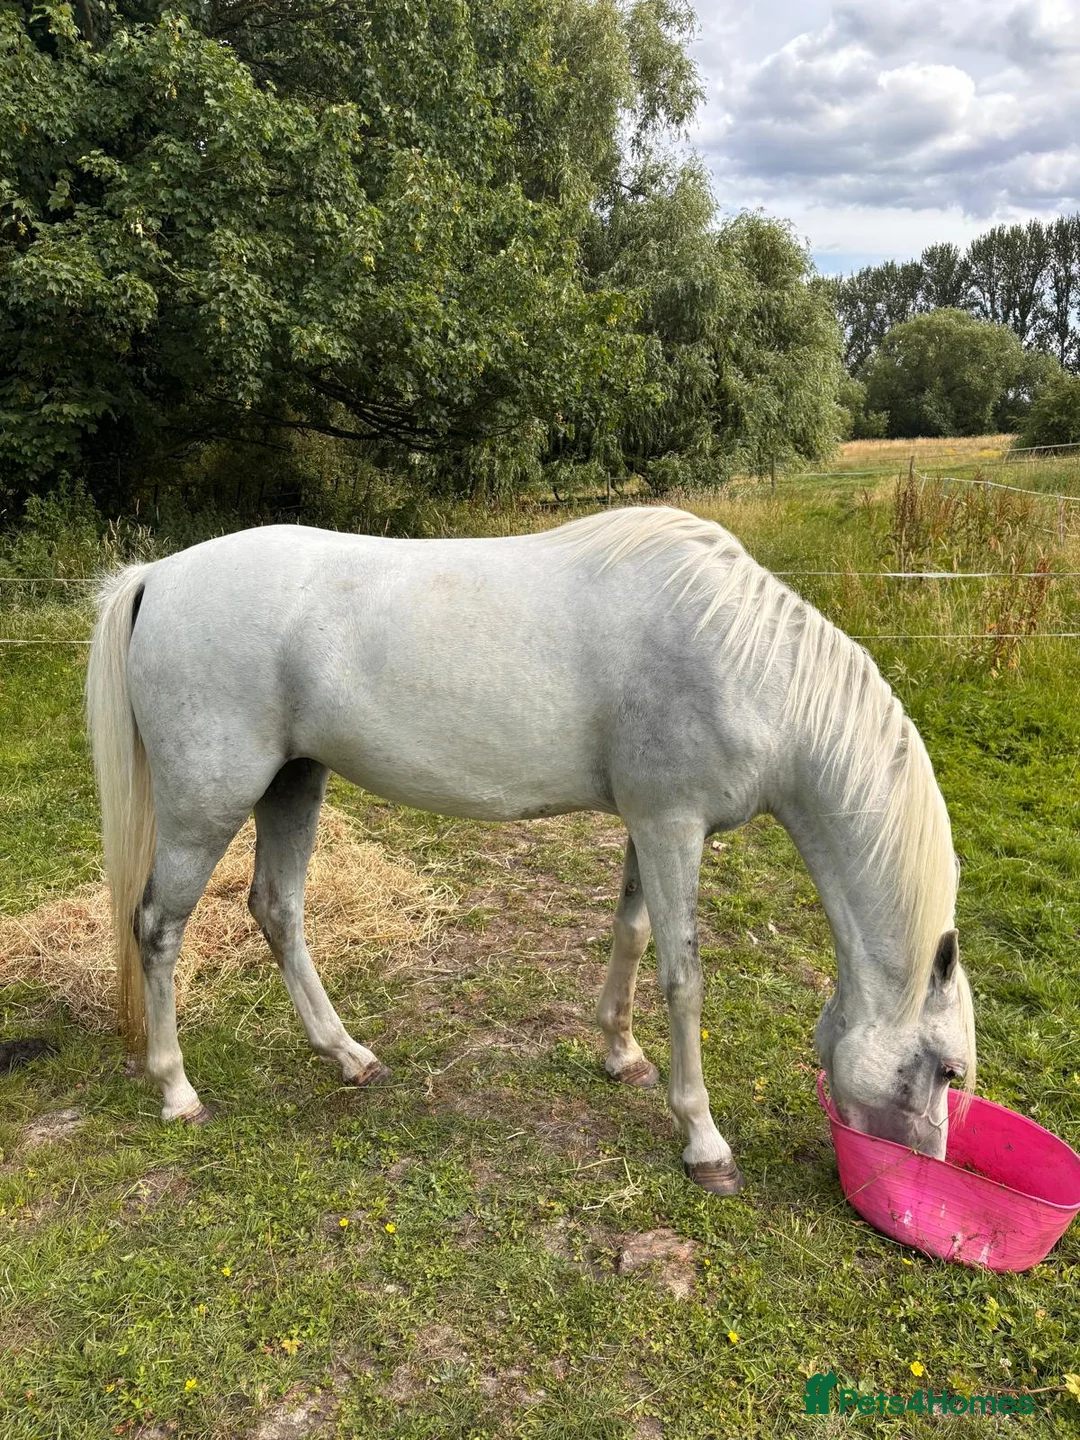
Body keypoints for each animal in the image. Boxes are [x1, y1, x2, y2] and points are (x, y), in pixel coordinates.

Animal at [85, 505, 976, 1195]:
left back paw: (348, 1055)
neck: (747, 660)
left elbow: (633, 935)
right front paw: (704, 1143)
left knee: (278, 910)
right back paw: (177, 1090)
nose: (917, 1173)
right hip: (208, 804)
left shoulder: (646, 826)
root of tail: (160, 576)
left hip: (293, 784)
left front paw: (621, 1055)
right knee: (159, 928)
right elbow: (684, 979)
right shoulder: (672, 827)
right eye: (948, 1070)